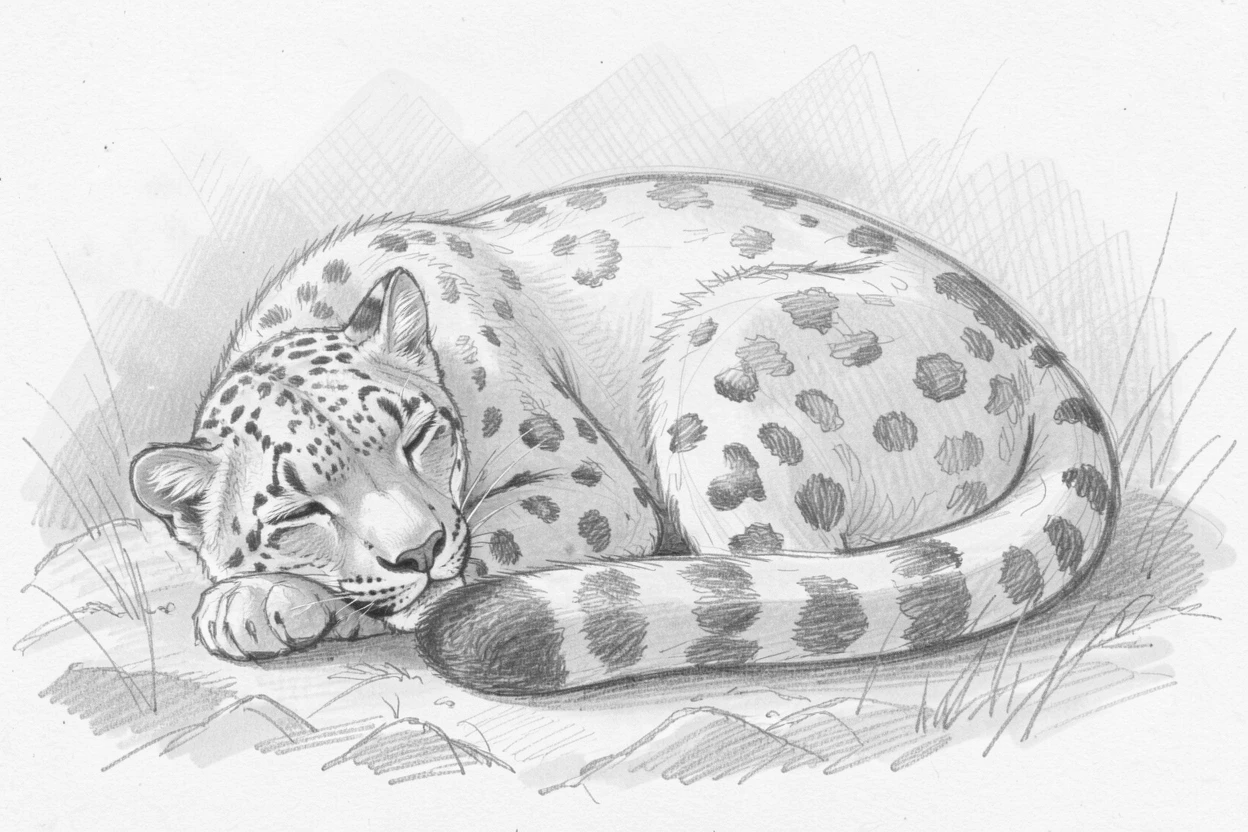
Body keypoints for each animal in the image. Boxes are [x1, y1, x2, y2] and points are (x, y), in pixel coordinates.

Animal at [130, 172, 1119, 695]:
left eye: (415, 435)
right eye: (298, 508)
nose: (418, 550)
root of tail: (1027, 341)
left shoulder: (588, 487)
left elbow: (490, 537)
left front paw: (265, 601)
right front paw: (261, 596)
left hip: (723, 368)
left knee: (793, 573)